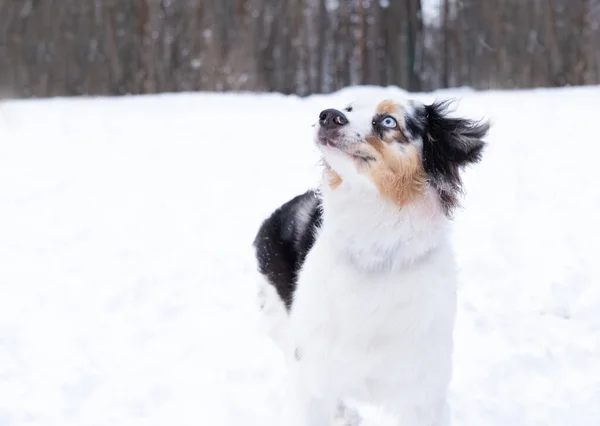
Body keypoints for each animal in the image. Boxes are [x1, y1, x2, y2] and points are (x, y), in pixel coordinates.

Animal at [253, 94, 488, 426]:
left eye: (388, 121)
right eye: (349, 109)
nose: (328, 115)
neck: (375, 249)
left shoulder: (423, 391)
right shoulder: (314, 372)